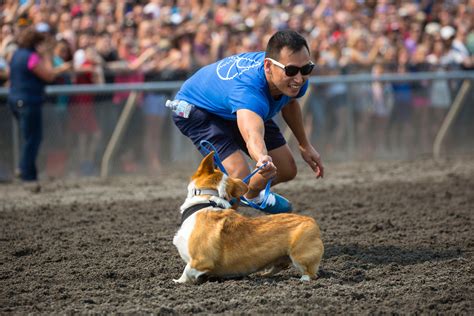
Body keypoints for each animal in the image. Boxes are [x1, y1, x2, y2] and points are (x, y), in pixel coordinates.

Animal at [172, 152, 324, 282]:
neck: (207, 199)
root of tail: (312, 221)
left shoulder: (200, 260)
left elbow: (186, 272)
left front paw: (177, 282)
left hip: (299, 256)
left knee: (311, 274)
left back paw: (302, 279)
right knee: (280, 266)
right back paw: (264, 275)